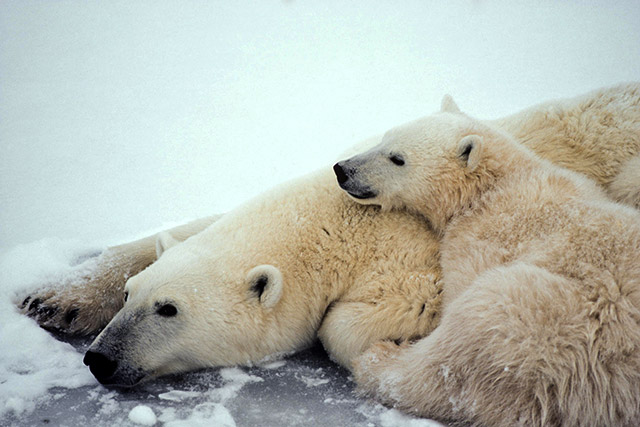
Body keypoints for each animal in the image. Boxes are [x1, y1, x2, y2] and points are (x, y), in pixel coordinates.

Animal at [20, 83, 640, 386]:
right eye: (133, 297)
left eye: (169, 310)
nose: (99, 360)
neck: (335, 220)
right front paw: (53, 299)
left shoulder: (415, 261)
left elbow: (360, 316)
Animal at [339, 106, 640, 426]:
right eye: (384, 138)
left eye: (398, 158)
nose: (342, 170)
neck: (496, 184)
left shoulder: (483, 236)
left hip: (548, 323)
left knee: (459, 351)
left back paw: (377, 358)